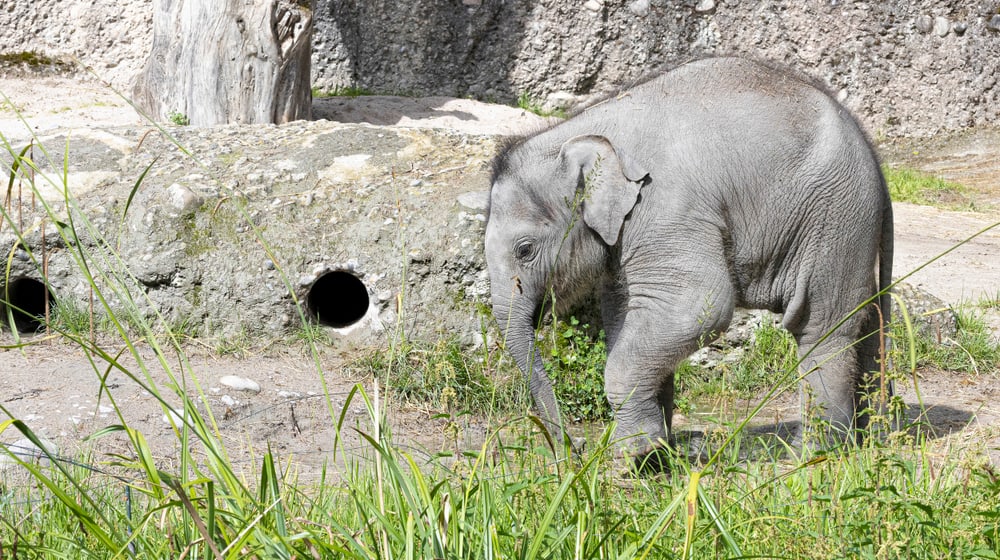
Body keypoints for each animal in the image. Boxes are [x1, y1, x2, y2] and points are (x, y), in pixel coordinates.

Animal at [484, 57, 893, 462]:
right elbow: (627, 318)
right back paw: (870, 436)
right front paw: (656, 455)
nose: (573, 452)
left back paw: (813, 453)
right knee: (865, 319)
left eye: (524, 250)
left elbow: (697, 307)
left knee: (820, 325)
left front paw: (633, 456)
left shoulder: (667, 209)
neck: (577, 131)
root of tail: (872, 151)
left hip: (833, 215)